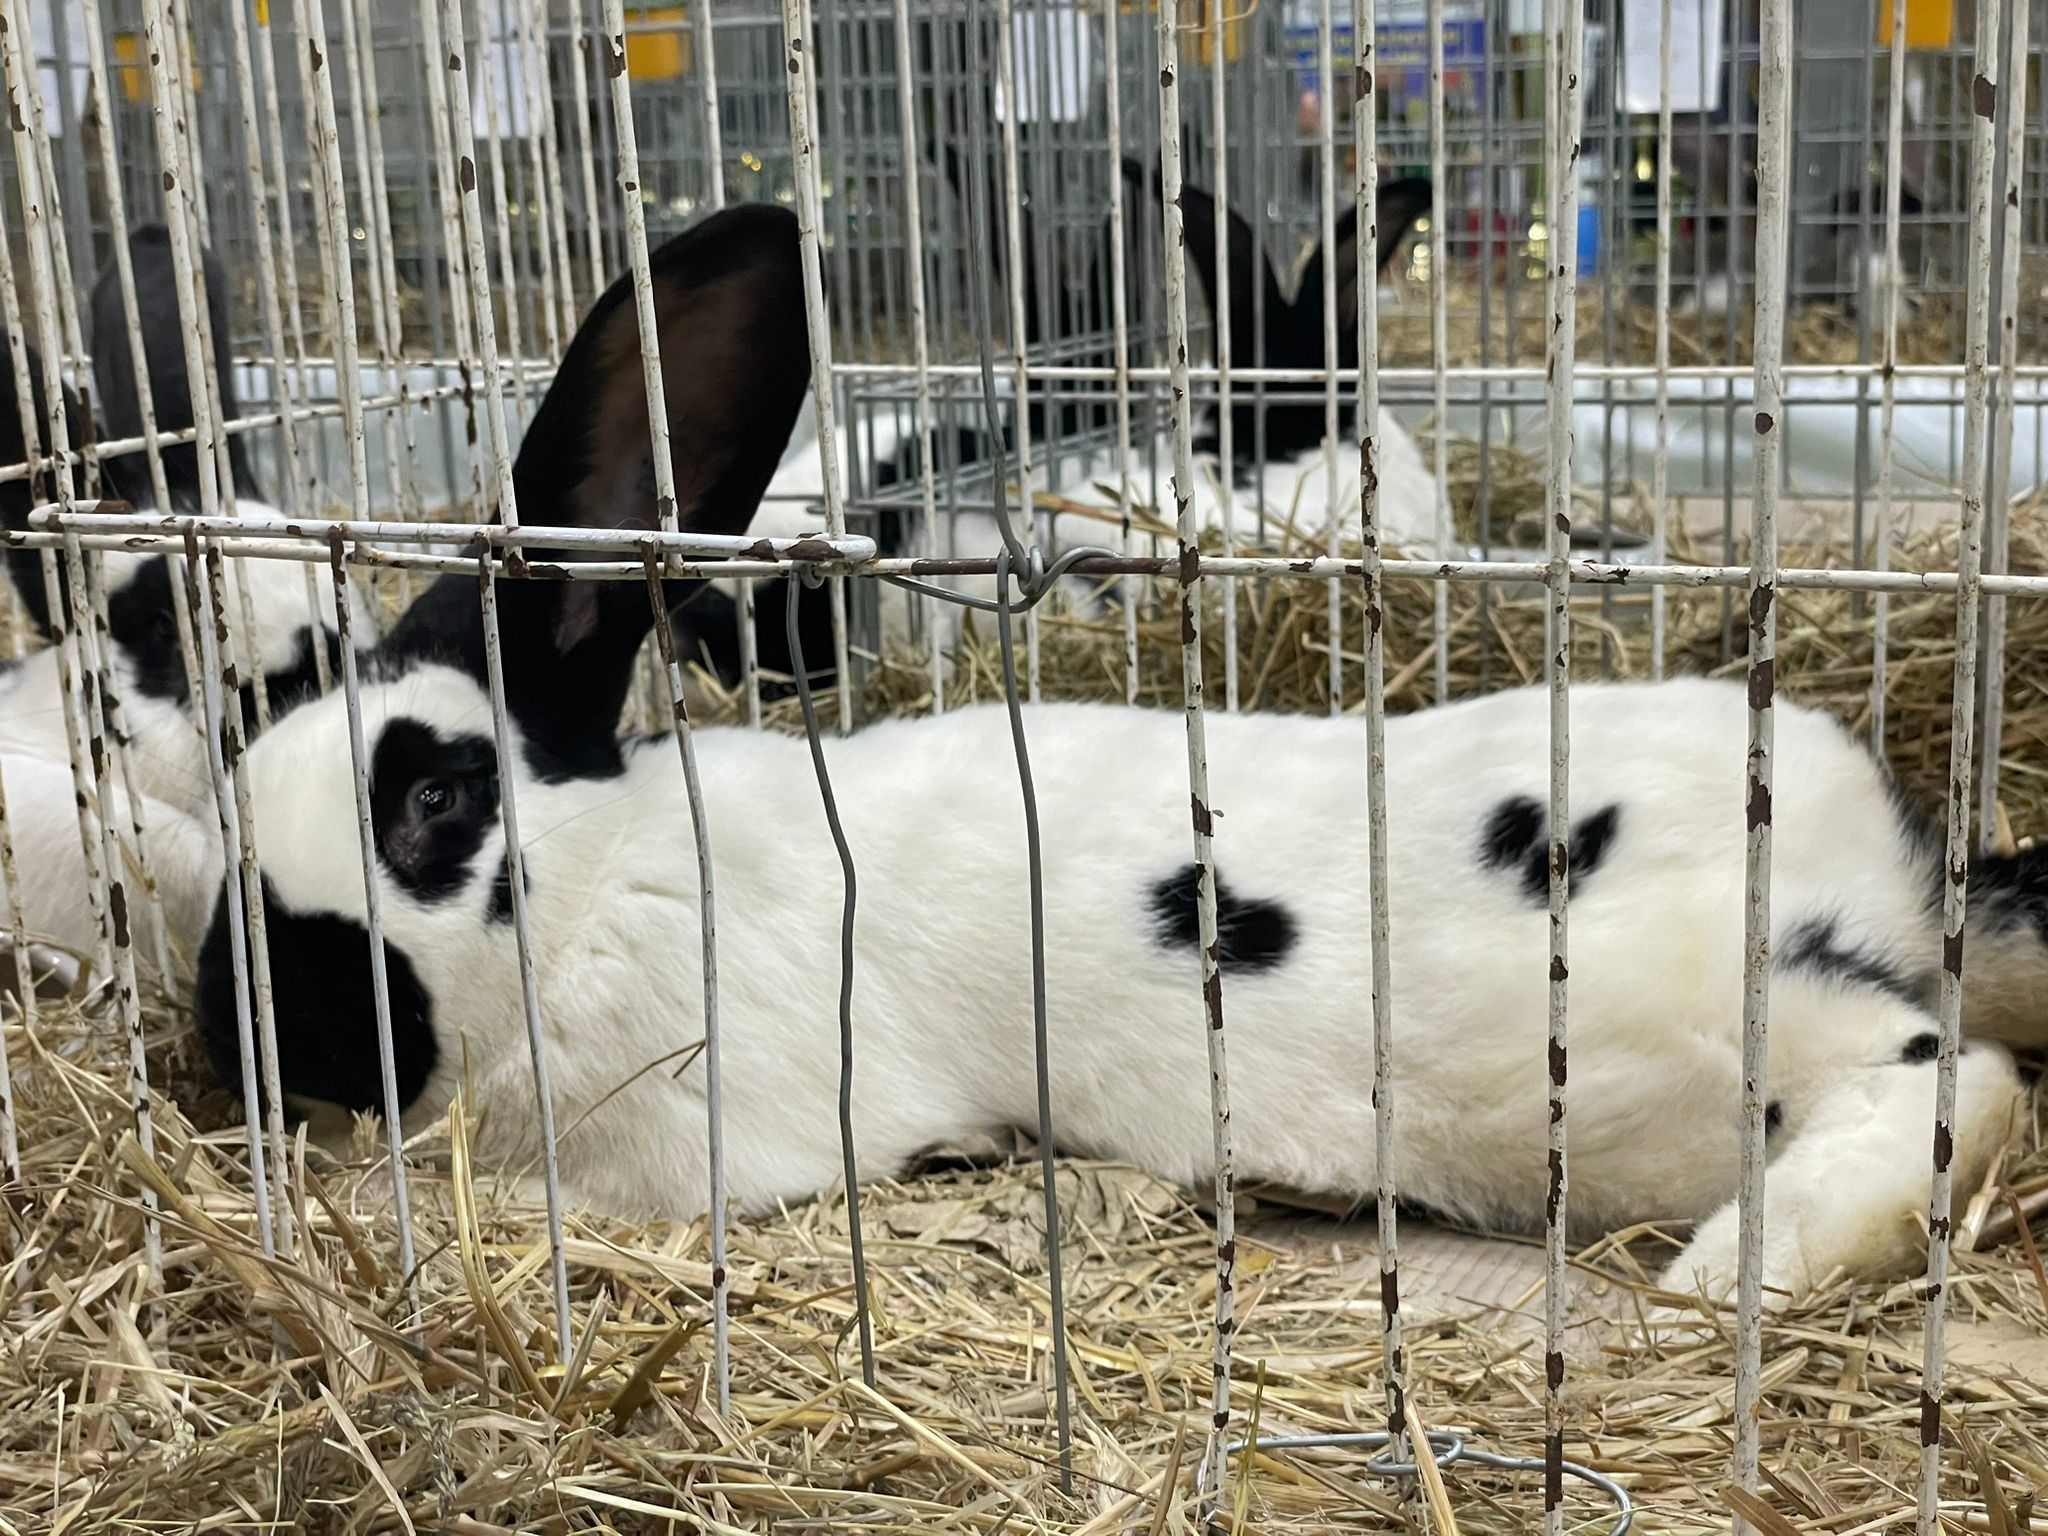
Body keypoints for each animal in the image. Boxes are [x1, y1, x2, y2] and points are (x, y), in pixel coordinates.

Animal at [199, 201, 2023, 1310]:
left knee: (1959, 1081)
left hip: (1685, 1034)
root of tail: (1882, 841)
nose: (242, 1037)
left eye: (437, 799)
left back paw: (1749, 1264)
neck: (610, 883)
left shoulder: (702, 1134)